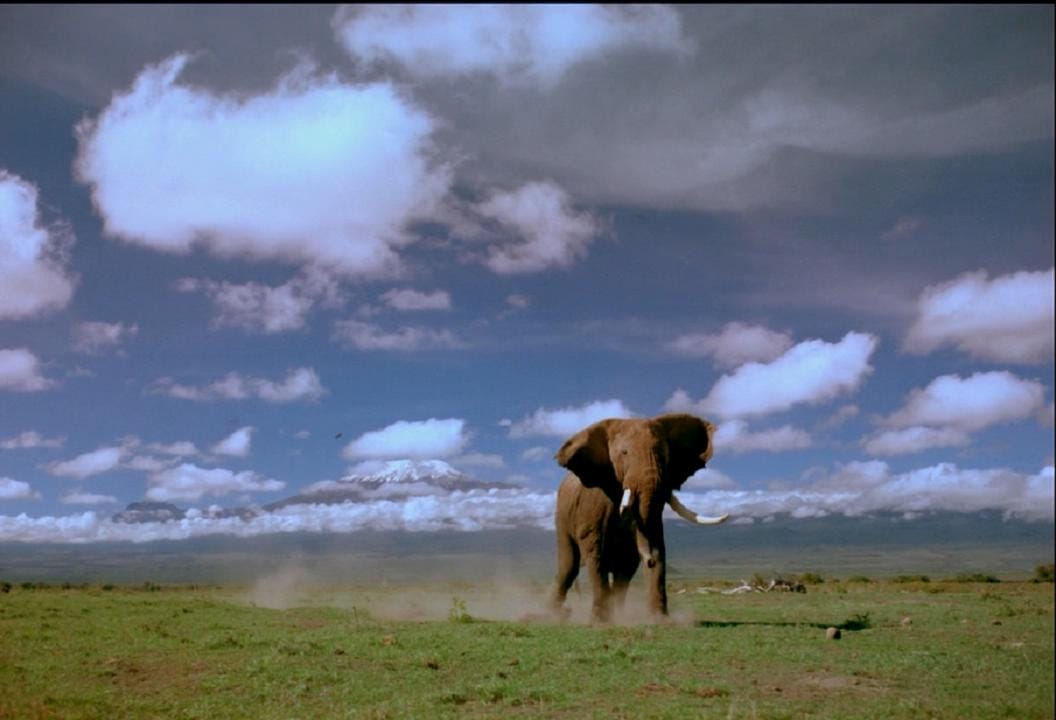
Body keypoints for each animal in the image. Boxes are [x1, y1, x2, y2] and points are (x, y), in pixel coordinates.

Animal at [549, 413, 729, 622]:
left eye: (665, 456)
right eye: (624, 453)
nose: (649, 561)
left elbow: (654, 544)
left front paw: (660, 621)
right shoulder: (593, 501)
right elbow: (594, 547)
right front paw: (600, 621)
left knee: (622, 572)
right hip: (562, 516)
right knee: (569, 566)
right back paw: (554, 614)